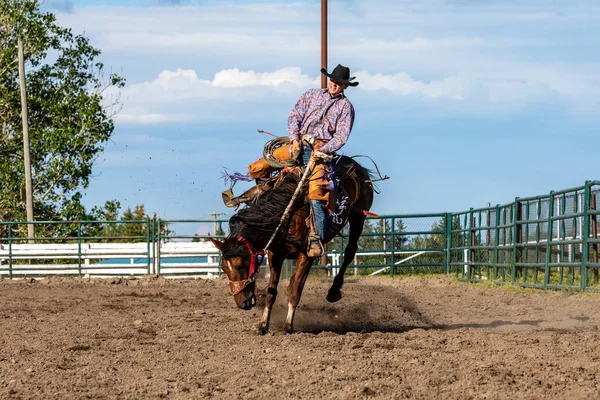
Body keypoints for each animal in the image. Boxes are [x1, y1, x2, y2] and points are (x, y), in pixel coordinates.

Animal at [213, 152, 378, 332]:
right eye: (223, 268)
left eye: (241, 265)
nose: (242, 303)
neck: (286, 216)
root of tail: (356, 165)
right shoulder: (275, 254)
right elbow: (272, 291)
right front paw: (263, 324)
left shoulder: (305, 255)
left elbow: (294, 291)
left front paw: (288, 325)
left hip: (359, 216)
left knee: (349, 251)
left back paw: (334, 291)